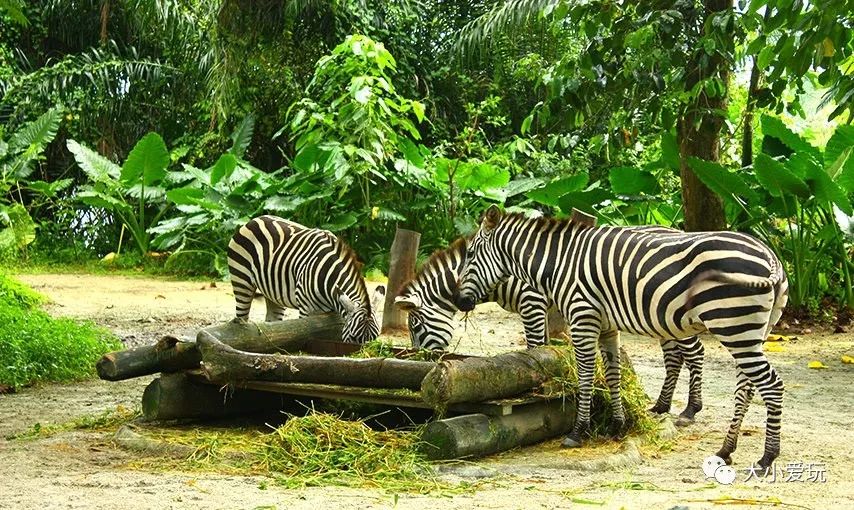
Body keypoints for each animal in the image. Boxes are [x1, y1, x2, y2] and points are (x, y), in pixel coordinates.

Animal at [229, 215, 386, 342]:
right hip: (242, 281)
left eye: (374, 338)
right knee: (242, 318)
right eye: (354, 338)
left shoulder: (334, 312)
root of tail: (255, 219)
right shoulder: (306, 308)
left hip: (273, 293)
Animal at [396, 236, 708, 426]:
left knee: (696, 351)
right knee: (674, 357)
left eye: (416, 325)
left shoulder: (532, 301)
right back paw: (661, 406)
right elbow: (543, 346)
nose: (424, 359)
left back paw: (690, 410)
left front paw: (534, 388)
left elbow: (535, 346)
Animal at [454, 206, 788, 470]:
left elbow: (586, 376)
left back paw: (767, 457)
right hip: (752, 330)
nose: (459, 301)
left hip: (732, 323)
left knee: (771, 385)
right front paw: (617, 425)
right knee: (746, 387)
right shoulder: (607, 326)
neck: (559, 262)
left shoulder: (582, 317)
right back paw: (725, 450)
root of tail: (771, 256)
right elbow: (613, 375)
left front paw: (578, 431)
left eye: (469, 254)